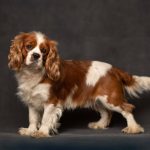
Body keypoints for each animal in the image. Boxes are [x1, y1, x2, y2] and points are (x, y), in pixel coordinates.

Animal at [8, 31, 150, 138]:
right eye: (28, 46)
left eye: (44, 51)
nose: (36, 55)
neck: (33, 73)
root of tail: (113, 69)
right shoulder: (32, 101)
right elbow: (32, 118)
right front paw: (30, 131)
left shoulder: (51, 101)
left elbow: (45, 119)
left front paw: (41, 132)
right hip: (97, 100)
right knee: (107, 113)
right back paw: (99, 125)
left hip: (110, 99)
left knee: (127, 108)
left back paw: (133, 128)